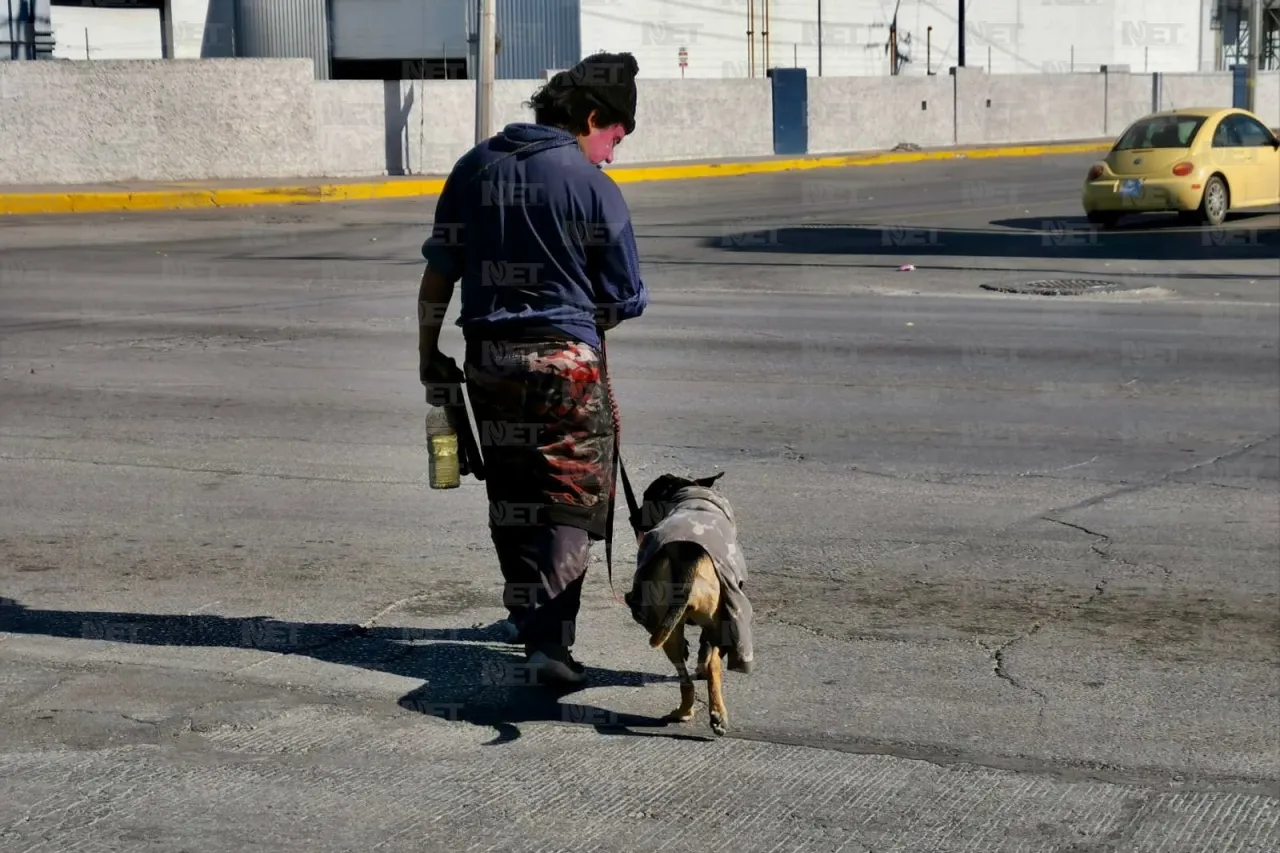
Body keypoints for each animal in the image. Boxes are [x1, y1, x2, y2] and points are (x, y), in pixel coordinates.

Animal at [624, 468, 752, 732]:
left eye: (646, 497)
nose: (632, 518)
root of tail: (689, 555)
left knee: (688, 672)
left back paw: (697, 712)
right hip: (716, 620)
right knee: (710, 664)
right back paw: (704, 713)